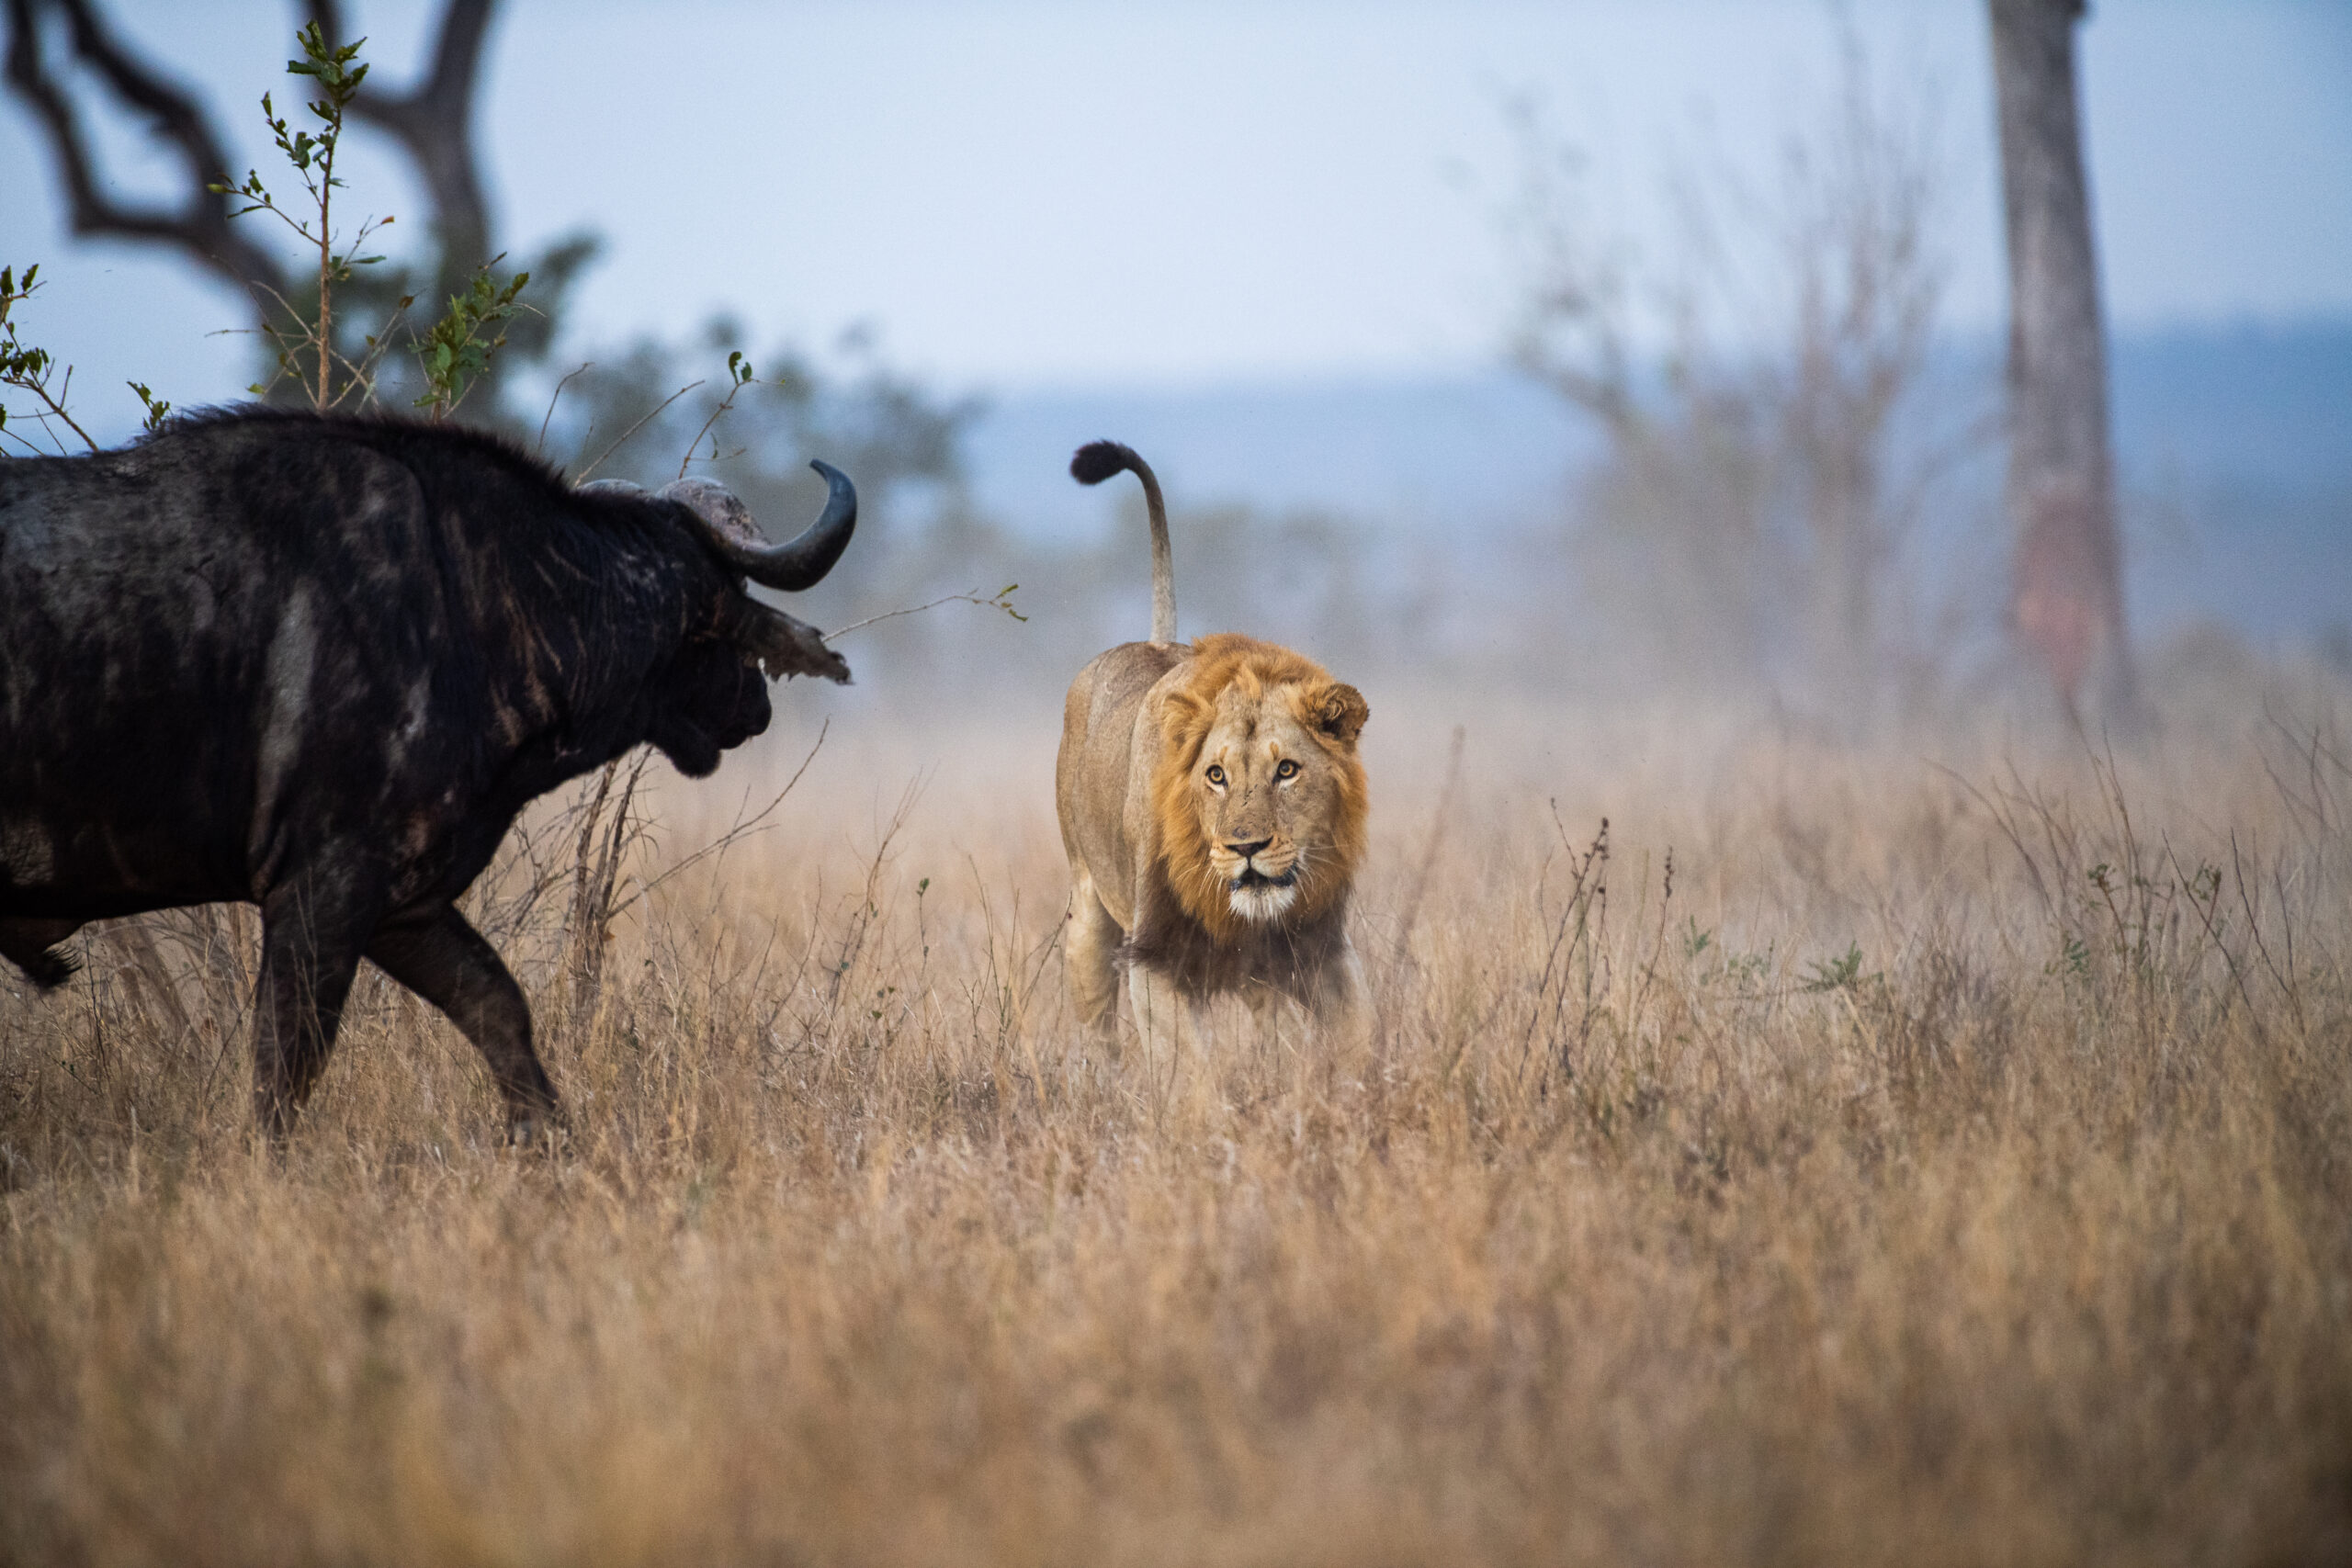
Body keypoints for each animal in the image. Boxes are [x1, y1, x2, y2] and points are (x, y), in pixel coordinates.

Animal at [0, 411, 865, 1133]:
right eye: (727, 599)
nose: (756, 706)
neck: (476, 596)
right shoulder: (323, 889)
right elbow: (285, 1069)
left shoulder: (404, 903)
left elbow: (498, 1007)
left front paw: (551, 1143)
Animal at [1058, 442, 1374, 1053]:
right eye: (1215, 776)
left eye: (1287, 770)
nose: (1246, 848)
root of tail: (1155, 640)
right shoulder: (1150, 961)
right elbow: (1195, 1072)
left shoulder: (1323, 952)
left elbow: (1358, 1043)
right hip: (1087, 910)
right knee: (1097, 1033)